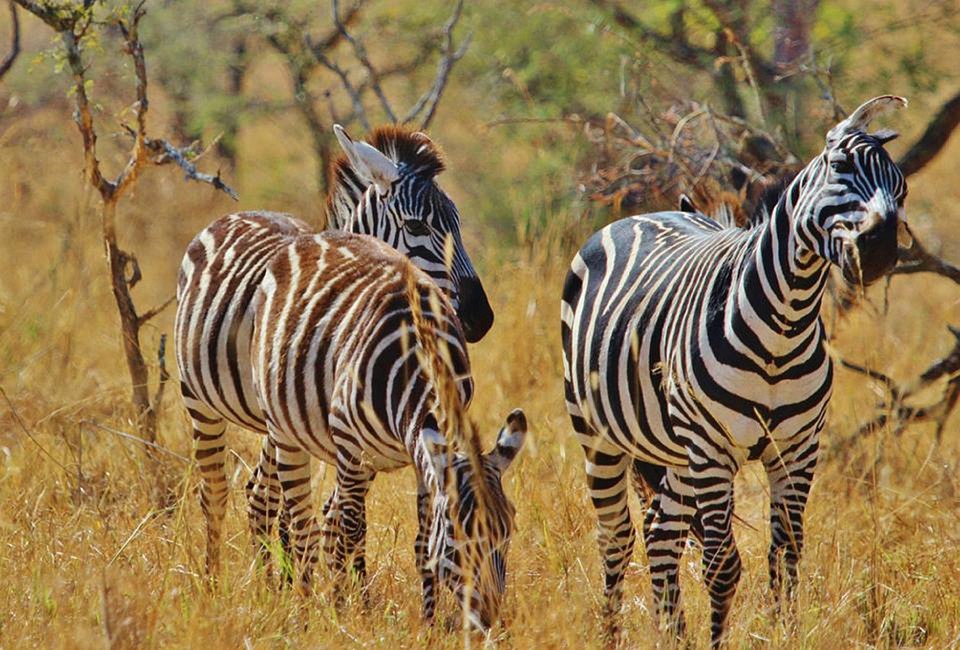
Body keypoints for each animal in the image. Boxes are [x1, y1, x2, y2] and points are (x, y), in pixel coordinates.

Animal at [173, 124, 498, 576]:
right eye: (416, 225)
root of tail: (235, 214)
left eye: (459, 224)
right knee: (219, 493)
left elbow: (331, 517)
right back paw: (216, 579)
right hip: (199, 398)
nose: (480, 317)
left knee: (259, 494)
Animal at [251, 232, 528, 628]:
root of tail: (314, 236)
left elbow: (422, 545)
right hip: (288, 432)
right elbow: (351, 534)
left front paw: (429, 623)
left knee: (325, 519)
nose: (489, 618)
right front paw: (350, 615)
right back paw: (302, 608)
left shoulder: (422, 456)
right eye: (456, 536)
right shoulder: (352, 450)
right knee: (303, 522)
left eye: (507, 533)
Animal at [560, 96, 912, 644]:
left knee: (660, 532)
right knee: (615, 537)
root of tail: (645, 213)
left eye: (902, 189)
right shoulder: (713, 449)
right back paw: (612, 636)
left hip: (678, 452)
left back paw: (673, 636)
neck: (783, 327)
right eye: (838, 166)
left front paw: (785, 636)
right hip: (600, 434)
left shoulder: (797, 449)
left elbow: (785, 558)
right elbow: (722, 567)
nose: (879, 250)